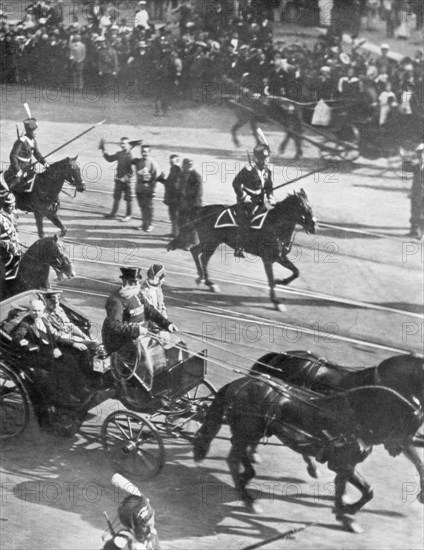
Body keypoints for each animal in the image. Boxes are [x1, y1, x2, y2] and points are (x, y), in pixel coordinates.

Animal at [167, 191, 316, 310]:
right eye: (303, 207)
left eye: (310, 206)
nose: (314, 225)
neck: (275, 226)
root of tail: (202, 210)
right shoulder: (267, 259)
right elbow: (271, 279)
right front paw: (276, 300)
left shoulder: (280, 257)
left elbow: (296, 272)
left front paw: (281, 282)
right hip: (211, 242)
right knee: (202, 257)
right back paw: (208, 282)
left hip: (211, 242)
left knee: (196, 252)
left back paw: (203, 279)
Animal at [194, 378, 422, 532]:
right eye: (409, 426)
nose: (397, 450)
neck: (354, 416)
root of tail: (239, 383)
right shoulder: (342, 464)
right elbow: (360, 490)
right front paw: (346, 513)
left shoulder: (345, 466)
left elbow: (359, 490)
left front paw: (346, 513)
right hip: (247, 430)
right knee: (233, 458)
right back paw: (248, 499)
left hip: (252, 432)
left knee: (239, 453)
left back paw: (247, 476)